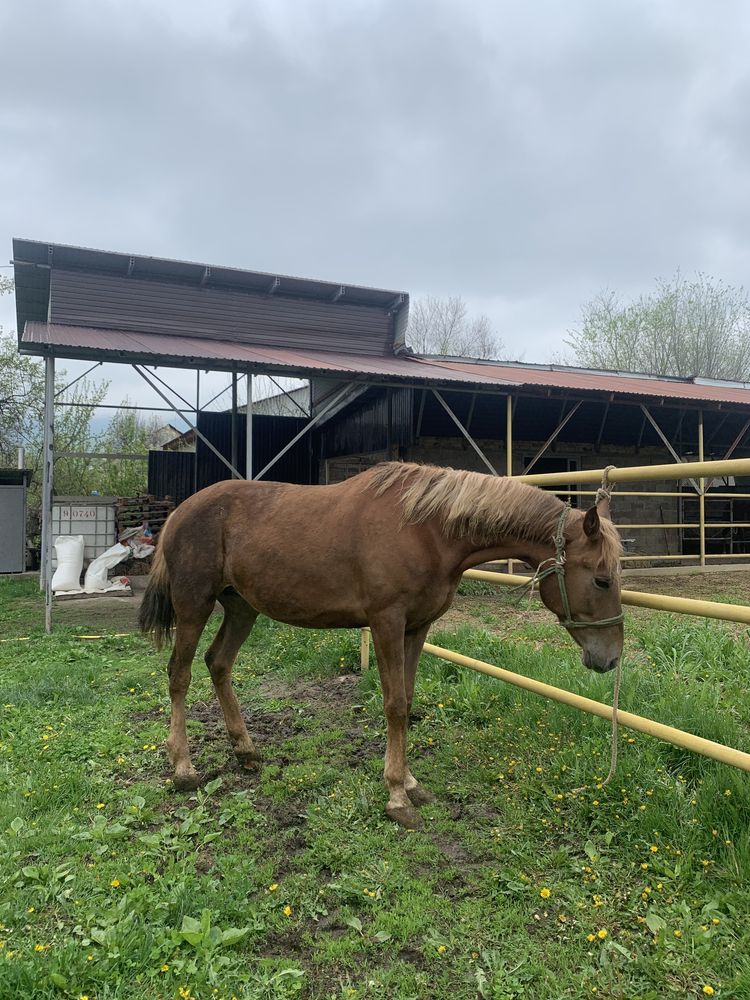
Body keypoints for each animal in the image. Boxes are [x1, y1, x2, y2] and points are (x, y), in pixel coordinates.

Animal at [140, 460, 624, 828]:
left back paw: (246, 751)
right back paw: (183, 768)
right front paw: (396, 798)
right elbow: (394, 705)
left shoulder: (416, 628)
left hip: (241, 608)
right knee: (179, 674)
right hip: (194, 606)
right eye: (602, 579)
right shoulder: (387, 623)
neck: (427, 530)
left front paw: (410, 783)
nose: (611, 658)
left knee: (218, 664)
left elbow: (407, 700)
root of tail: (179, 514)